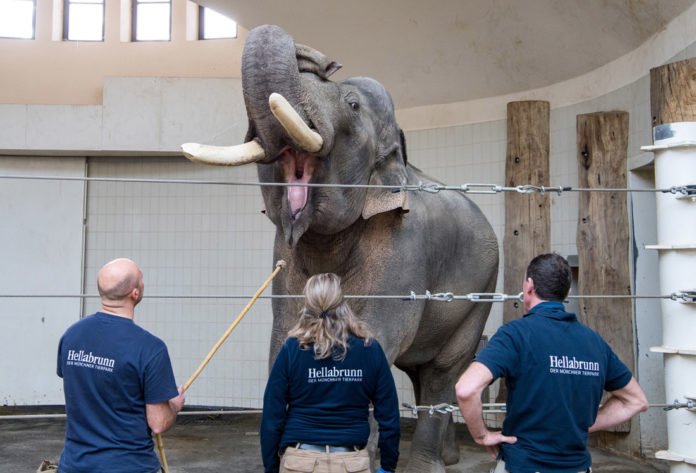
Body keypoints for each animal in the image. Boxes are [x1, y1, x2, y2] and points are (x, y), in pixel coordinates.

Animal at [184, 24, 500, 472]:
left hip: (482, 291)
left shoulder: (402, 247)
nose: (324, 61)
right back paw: (448, 457)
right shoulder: (283, 253)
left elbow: (376, 335)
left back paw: (427, 463)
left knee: (444, 368)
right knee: (420, 370)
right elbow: (287, 330)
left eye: (351, 105)